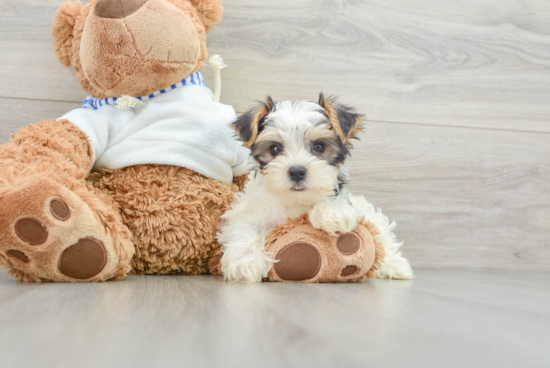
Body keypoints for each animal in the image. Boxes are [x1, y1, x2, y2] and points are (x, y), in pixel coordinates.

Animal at [220, 93, 414, 284]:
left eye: (319, 146)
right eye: (274, 149)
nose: (297, 172)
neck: (295, 200)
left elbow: (336, 199)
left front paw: (332, 212)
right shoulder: (247, 211)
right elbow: (244, 227)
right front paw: (245, 262)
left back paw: (394, 265)